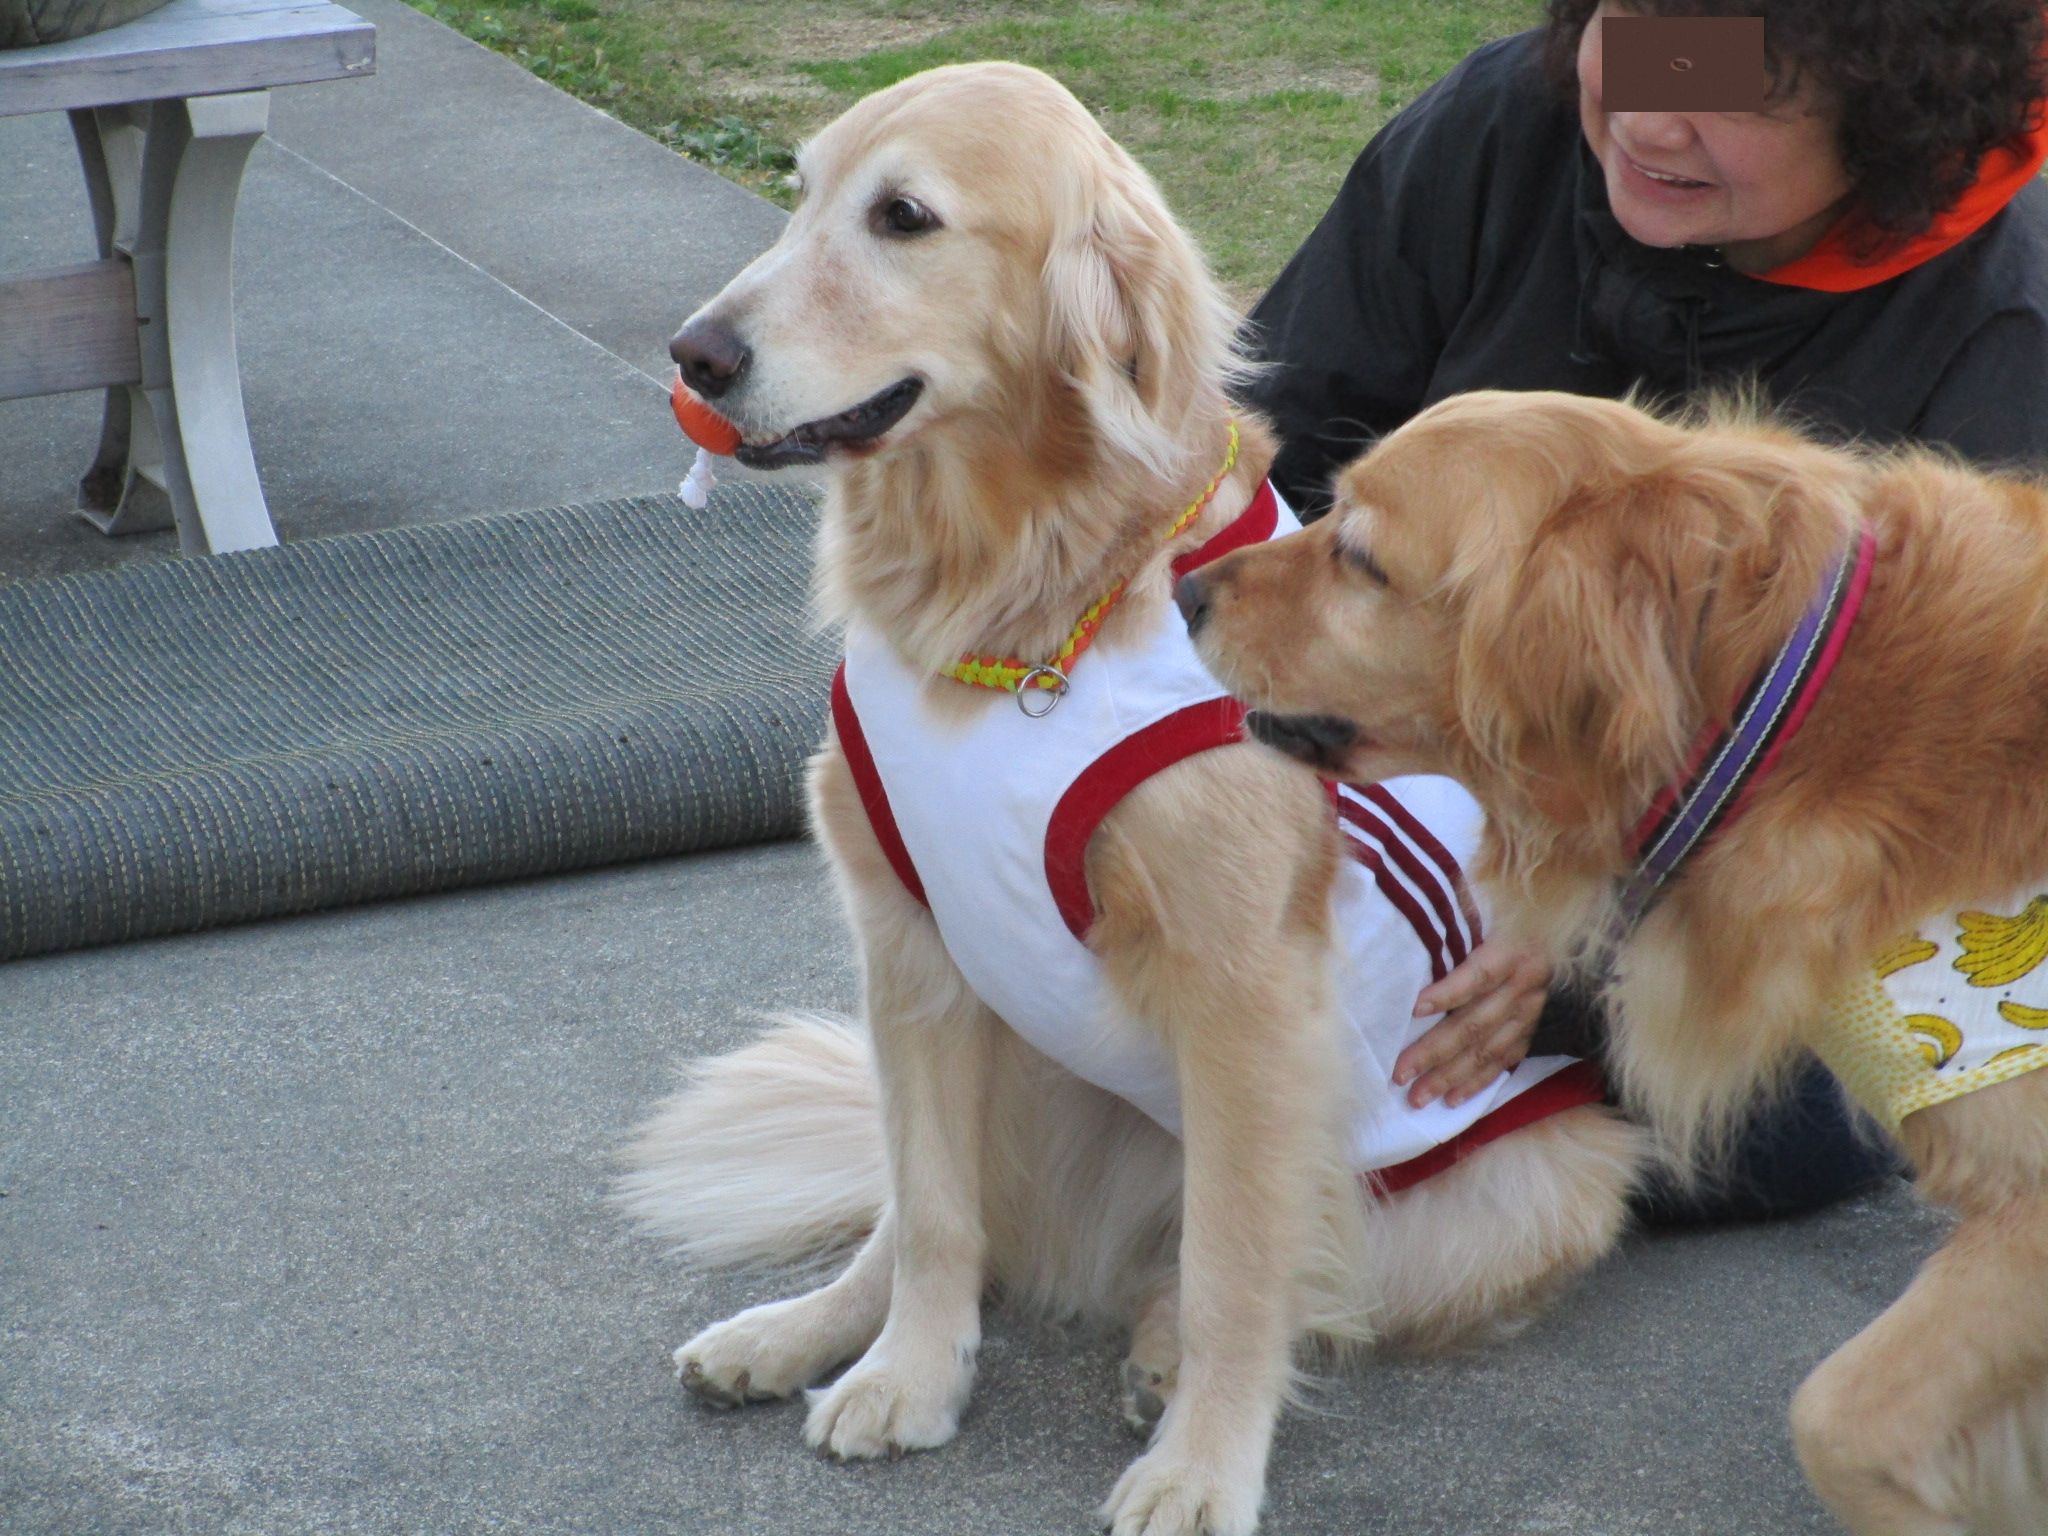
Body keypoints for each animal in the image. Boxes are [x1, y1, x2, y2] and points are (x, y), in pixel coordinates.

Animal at [614, 63, 1638, 1536]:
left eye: (904, 217)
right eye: (801, 193)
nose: (695, 355)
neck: (1015, 608)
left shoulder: (1247, 1002)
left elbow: (1236, 1269)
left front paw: (1202, 1464)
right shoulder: (908, 949)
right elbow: (931, 1214)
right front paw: (907, 1376)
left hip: (1530, 1182)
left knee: (1284, 1272)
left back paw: (1156, 1347)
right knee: (918, 1212)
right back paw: (796, 1332)